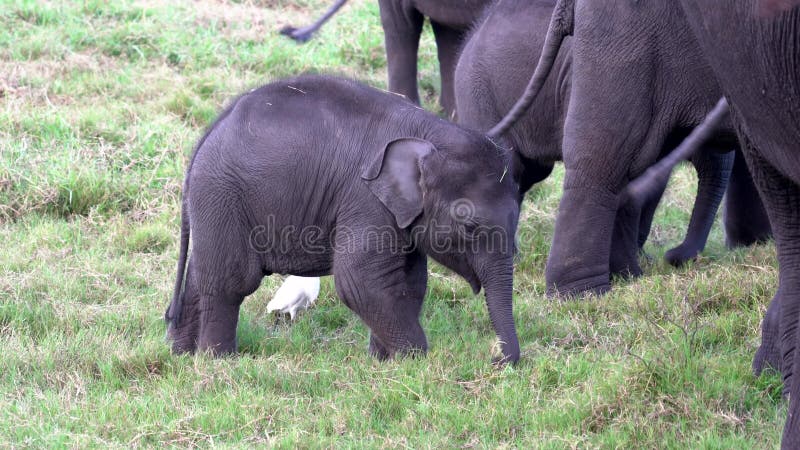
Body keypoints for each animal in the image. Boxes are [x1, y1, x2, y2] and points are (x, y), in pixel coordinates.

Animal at [165, 73, 520, 362]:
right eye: (469, 225)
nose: (497, 360)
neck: (430, 133)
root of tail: (206, 135)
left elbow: (410, 281)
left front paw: (383, 362)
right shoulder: (365, 200)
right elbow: (360, 281)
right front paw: (415, 361)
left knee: (199, 275)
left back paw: (183, 354)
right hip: (221, 194)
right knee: (230, 280)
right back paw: (218, 360)